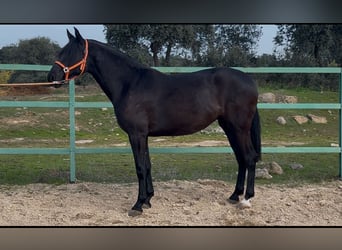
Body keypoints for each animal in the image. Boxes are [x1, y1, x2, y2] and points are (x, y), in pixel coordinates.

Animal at [48, 26, 260, 215]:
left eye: (70, 52)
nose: (51, 76)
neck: (130, 83)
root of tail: (249, 81)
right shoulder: (144, 135)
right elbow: (148, 165)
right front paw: (148, 199)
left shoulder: (136, 134)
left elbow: (140, 168)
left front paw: (138, 205)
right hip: (229, 128)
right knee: (241, 158)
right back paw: (234, 196)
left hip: (239, 128)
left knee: (249, 157)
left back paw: (246, 199)